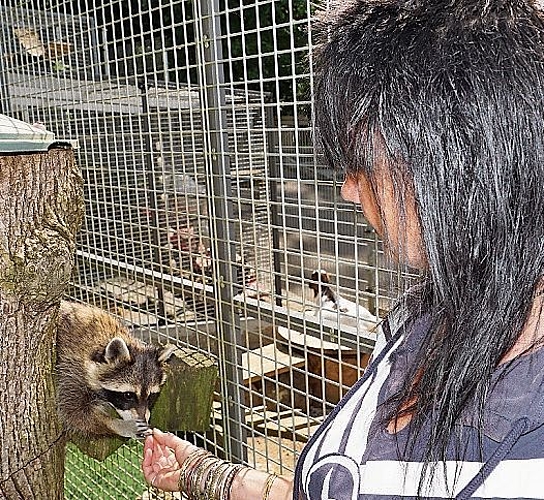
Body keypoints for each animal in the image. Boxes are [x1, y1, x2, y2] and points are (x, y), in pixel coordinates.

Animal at [55, 300, 174, 438]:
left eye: (151, 396)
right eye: (128, 395)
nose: (144, 421)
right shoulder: (71, 369)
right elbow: (73, 412)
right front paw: (118, 425)